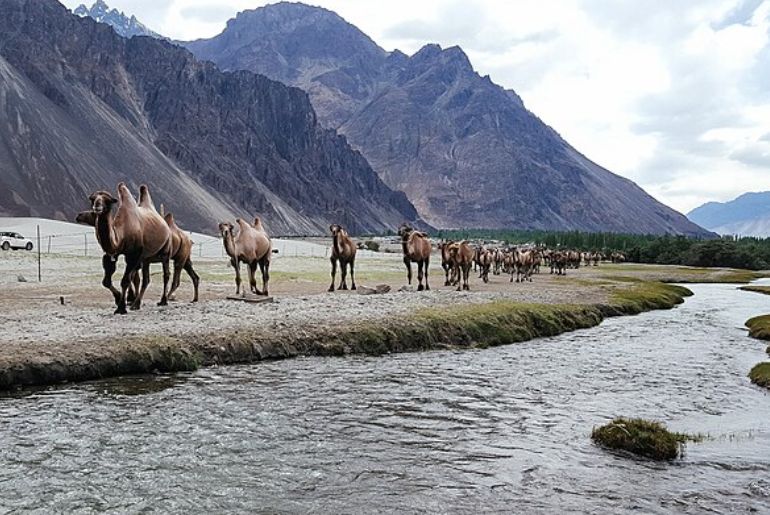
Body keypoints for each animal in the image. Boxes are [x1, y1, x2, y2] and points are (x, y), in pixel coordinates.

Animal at [86, 184, 172, 314]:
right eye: (93, 198)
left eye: (108, 200)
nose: (97, 206)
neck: (122, 233)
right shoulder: (111, 253)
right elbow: (106, 281)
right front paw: (118, 299)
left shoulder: (133, 254)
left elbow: (125, 280)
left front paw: (121, 308)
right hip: (146, 258)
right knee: (145, 279)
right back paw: (136, 304)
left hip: (165, 251)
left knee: (166, 275)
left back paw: (163, 301)